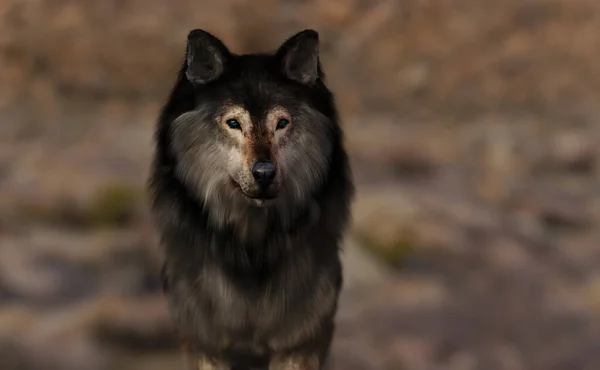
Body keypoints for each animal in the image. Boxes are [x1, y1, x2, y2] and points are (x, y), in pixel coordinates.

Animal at [148, 29, 354, 370]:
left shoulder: (300, 340)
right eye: (234, 123)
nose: (264, 173)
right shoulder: (205, 342)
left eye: (281, 123)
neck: (252, 246)